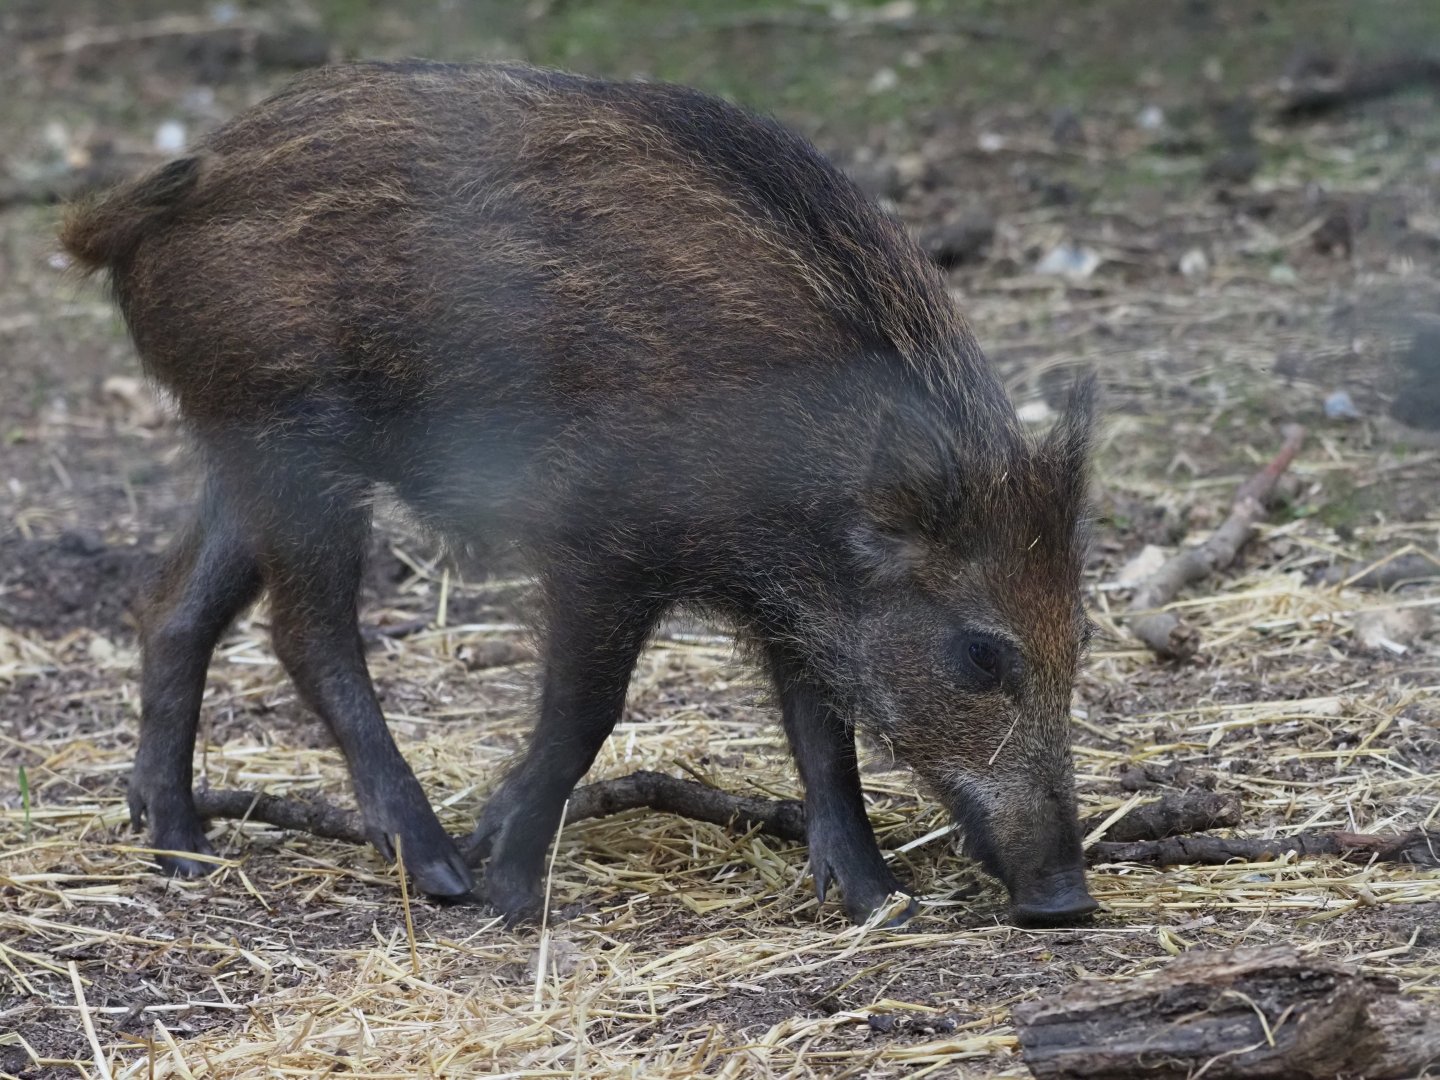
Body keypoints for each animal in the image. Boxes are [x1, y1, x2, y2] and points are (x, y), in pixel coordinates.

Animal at [61, 61, 1099, 928]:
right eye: (982, 654)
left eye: (1082, 639)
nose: (1067, 902)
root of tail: (133, 212)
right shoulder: (600, 545)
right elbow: (587, 709)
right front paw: (513, 894)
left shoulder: (799, 595)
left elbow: (824, 735)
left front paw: (878, 902)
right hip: (297, 448)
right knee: (306, 637)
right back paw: (438, 869)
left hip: (244, 450)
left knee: (171, 606)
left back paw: (181, 849)